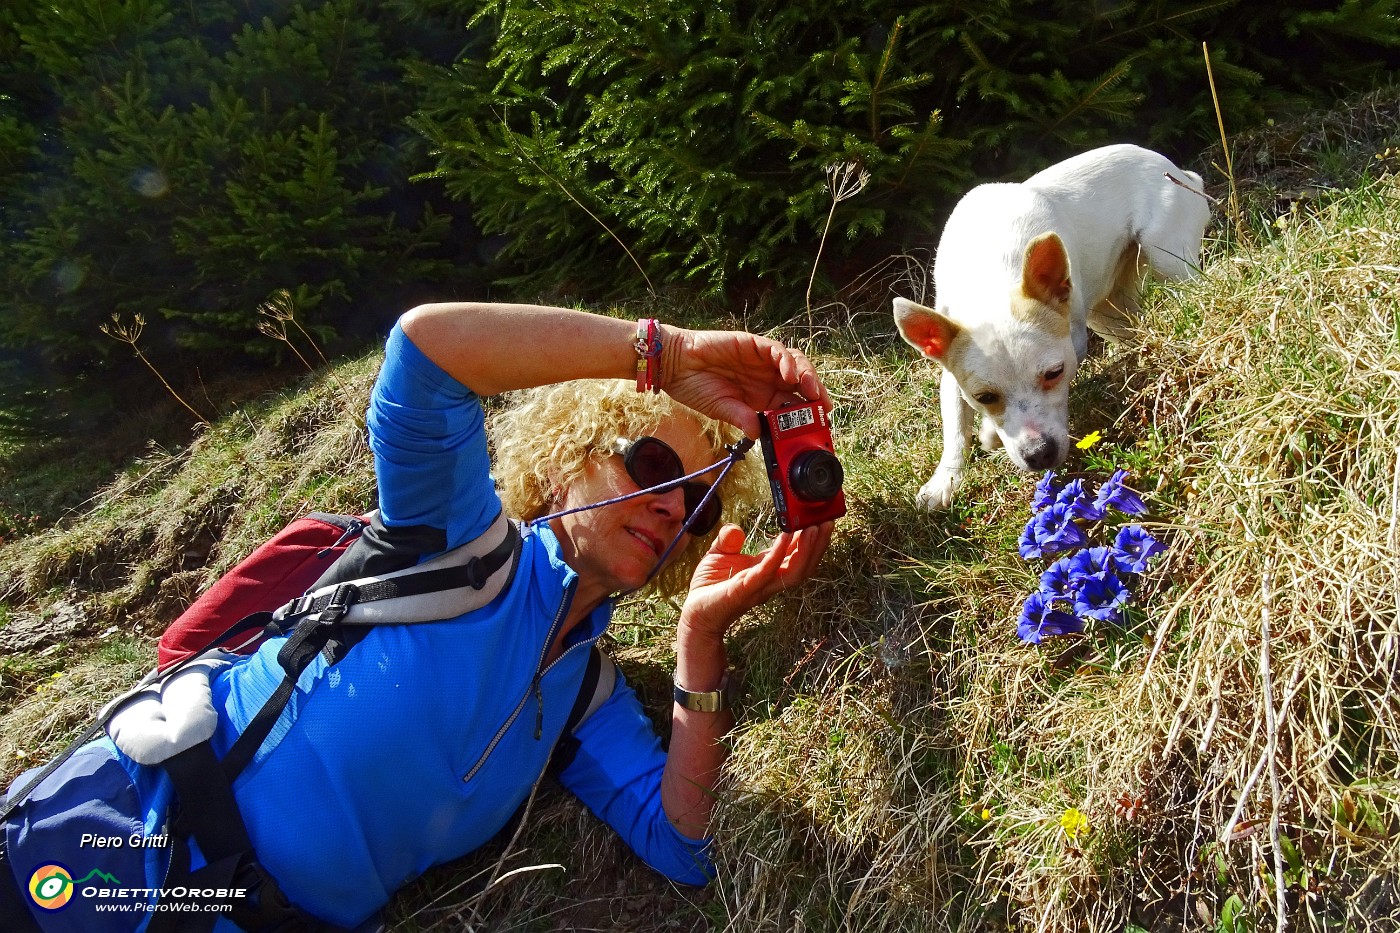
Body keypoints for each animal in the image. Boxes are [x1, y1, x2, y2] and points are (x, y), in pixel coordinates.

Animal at [896, 143, 1215, 509]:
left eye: (1054, 373)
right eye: (984, 396)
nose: (1038, 454)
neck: (991, 280)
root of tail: (1177, 170)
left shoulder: (1074, 341)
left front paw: (989, 434)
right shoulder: (951, 375)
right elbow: (955, 429)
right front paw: (944, 481)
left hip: (1167, 256)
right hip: (1105, 310)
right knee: (1130, 327)